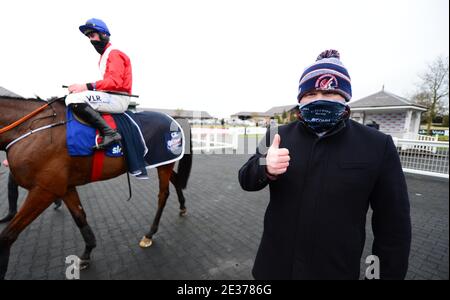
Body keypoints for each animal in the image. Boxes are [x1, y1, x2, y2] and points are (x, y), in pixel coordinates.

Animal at [0, 95, 192, 278]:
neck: (31, 129)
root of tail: (173, 119)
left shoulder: (44, 190)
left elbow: (7, 236)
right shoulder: (65, 186)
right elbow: (79, 217)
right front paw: (86, 253)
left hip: (164, 163)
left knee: (163, 195)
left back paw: (150, 233)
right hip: (162, 162)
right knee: (176, 181)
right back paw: (182, 207)